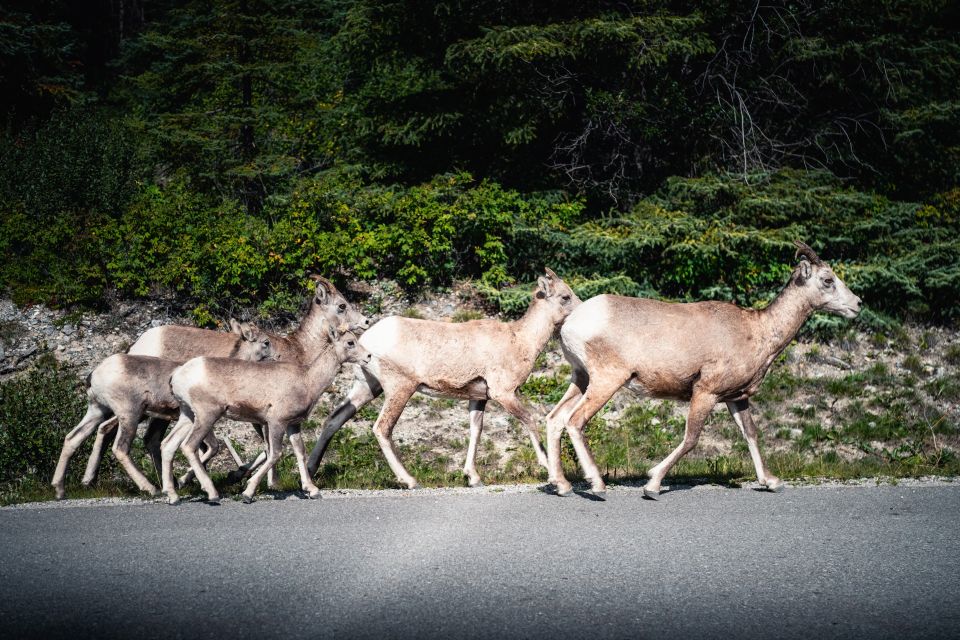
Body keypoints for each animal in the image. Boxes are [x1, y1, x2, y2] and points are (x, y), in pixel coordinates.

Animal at [50, 320, 274, 500]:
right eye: (266, 342)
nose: (275, 359)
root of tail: (96, 374)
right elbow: (210, 448)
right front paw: (185, 483)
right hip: (130, 415)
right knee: (120, 447)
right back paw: (151, 488)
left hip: (98, 411)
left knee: (74, 438)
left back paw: (61, 489)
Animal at [159, 324, 370, 504]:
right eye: (350, 342)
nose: (368, 356)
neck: (307, 380)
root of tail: (178, 374)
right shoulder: (276, 423)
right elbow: (275, 453)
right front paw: (248, 492)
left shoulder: (293, 425)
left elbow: (300, 453)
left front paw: (312, 490)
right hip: (206, 416)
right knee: (188, 446)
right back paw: (212, 494)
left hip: (188, 415)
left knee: (168, 445)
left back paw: (173, 496)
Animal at [306, 268, 576, 488]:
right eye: (565, 296)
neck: (520, 340)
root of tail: (368, 341)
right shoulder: (504, 393)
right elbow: (529, 420)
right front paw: (547, 467)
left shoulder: (478, 398)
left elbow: (475, 431)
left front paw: (473, 478)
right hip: (399, 388)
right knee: (381, 428)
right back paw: (410, 480)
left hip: (366, 387)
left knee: (334, 419)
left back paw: (310, 470)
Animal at [548, 242, 864, 498]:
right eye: (827, 280)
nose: (858, 305)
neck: (757, 331)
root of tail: (573, 321)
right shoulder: (705, 392)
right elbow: (691, 438)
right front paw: (652, 484)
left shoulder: (736, 398)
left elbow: (751, 433)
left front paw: (771, 482)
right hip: (606, 380)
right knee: (575, 421)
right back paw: (598, 486)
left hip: (581, 379)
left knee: (555, 419)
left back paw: (562, 486)